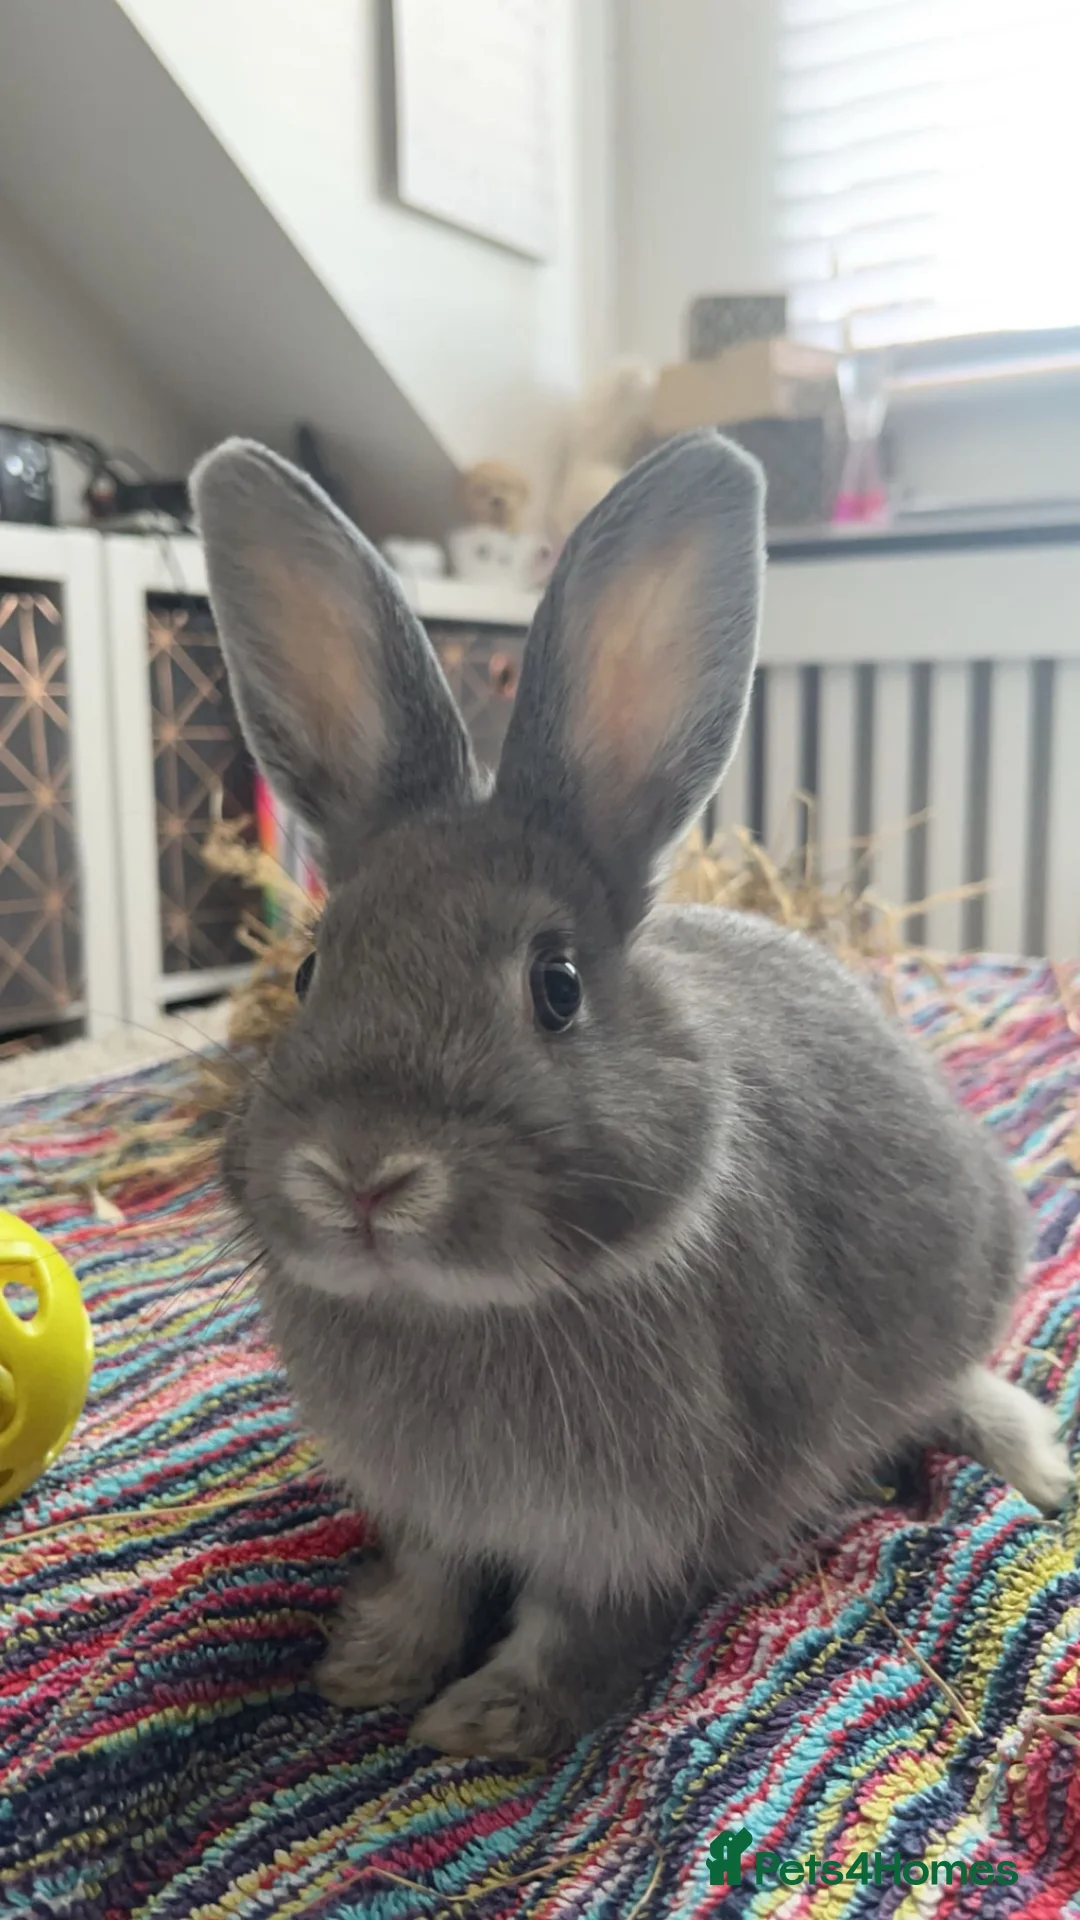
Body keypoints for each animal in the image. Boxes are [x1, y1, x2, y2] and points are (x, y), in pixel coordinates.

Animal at [190, 429, 1073, 1762]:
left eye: (556, 987)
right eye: (310, 971)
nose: (362, 1174)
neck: (462, 1310)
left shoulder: (637, 1530)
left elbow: (577, 1632)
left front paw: (486, 1721)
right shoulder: (432, 1512)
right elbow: (433, 1580)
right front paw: (371, 1665)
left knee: (959, 1386)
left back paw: (1038, 1469)